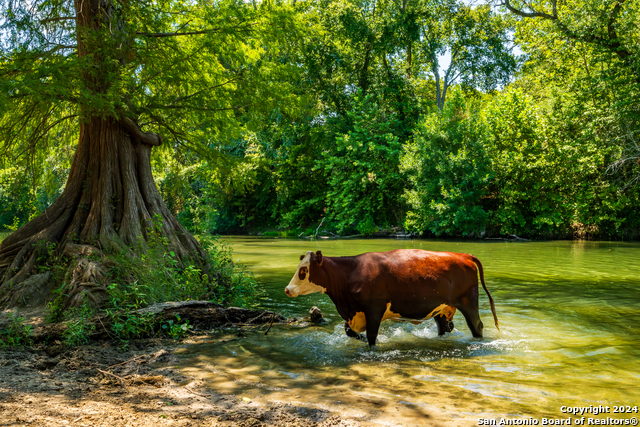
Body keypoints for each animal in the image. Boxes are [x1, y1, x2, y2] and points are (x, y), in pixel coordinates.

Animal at [284, 251, 500, 348]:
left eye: (304, 270)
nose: (287, 289)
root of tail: (464, 255)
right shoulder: (355, 313)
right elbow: (349, 331)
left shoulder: (374, 309)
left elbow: (372, 336)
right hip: (441, 309)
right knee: (444, 328)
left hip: (469, 303)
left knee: (477, 326)